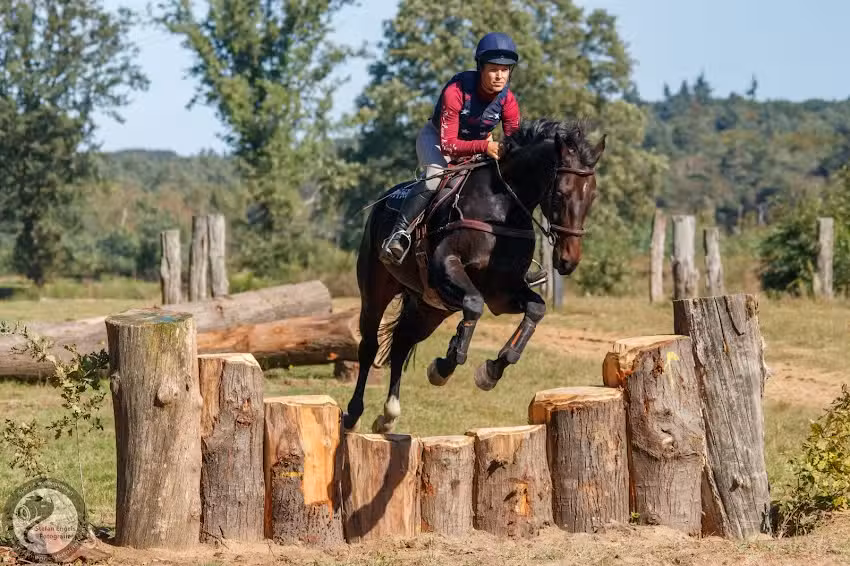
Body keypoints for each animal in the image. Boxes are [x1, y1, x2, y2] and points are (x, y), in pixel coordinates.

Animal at [342, 117, 606, 433]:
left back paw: (388, 416)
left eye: (591, 196)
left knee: (402, 341)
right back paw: (353, 414)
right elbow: (473, 305)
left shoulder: (502, 293)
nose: (568, 261)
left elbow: (535, 309)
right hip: (376, 290)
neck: (501, 208)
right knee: (370, 345)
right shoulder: (447, 267)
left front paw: (490, 371)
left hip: (430, 305)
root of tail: (384, 200)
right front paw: (443, 366)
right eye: (559, 195)